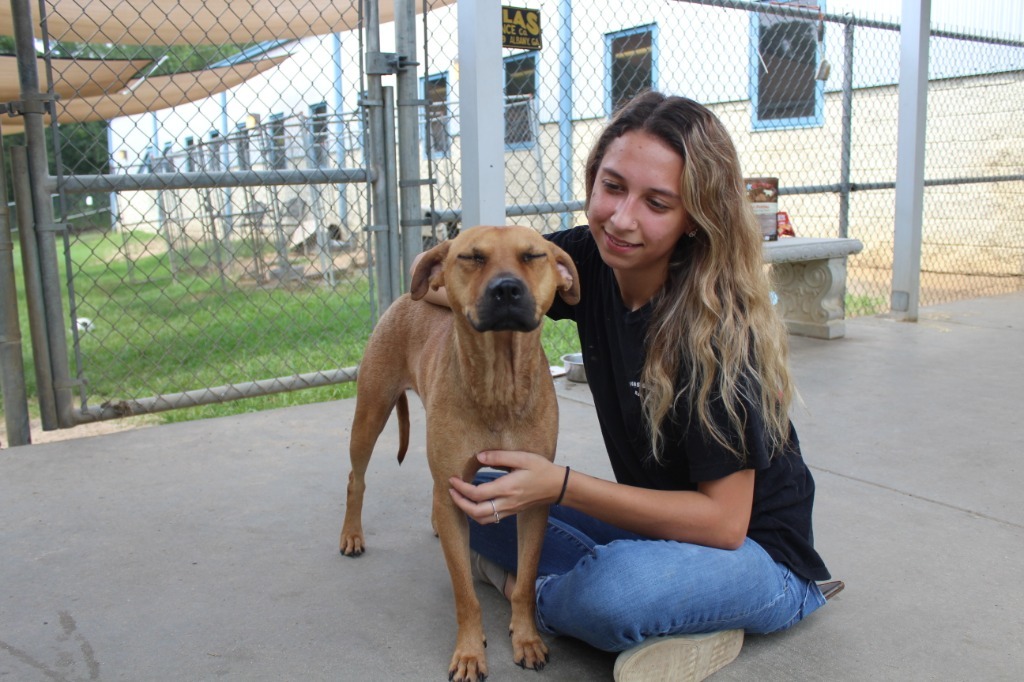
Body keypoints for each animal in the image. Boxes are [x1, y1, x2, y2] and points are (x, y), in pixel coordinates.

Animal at [339, 224, 581, 679]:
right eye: (471, 257)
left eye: (533, 256)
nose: (507, 289)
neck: (498, 386)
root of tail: (405, 298)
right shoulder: (454, 491)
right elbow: (465, 594)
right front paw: (470, 652)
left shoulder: (533, 497)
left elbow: (525, 581)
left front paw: (526, 638)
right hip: (370, 415)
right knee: (355, 479)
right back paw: (351, 534)